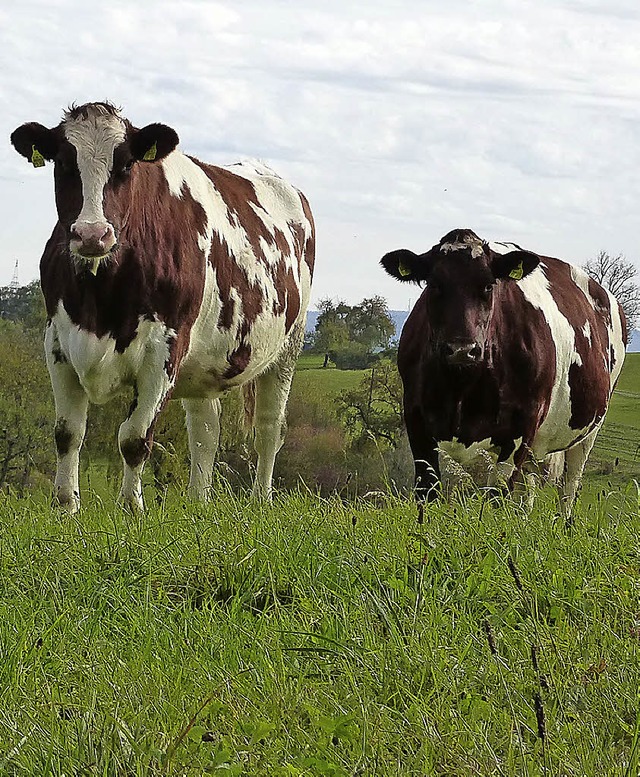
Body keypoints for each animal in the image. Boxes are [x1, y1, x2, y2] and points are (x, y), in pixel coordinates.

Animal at [11, 103, 316, 512]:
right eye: (62, 162)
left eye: (126, 164)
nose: (92, 234)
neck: (100, 300)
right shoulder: (58, 341)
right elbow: (67, 433)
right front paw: (66, 508)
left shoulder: (165, 348)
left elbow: (134, 437)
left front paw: (130, 509)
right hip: (205, 362)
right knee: (206, 428)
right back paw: (197, 504)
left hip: (288, 347)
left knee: (269, 427)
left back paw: (260, 501)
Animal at [380, 226, 624, 516]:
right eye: (434, 284)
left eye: (488, 285)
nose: (462, 349)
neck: (462, 385)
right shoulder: (416, 419)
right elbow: (427, 492)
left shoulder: (521, 425)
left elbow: (496, 497)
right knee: (529, 486)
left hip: (588, 430)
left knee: (569, 488)